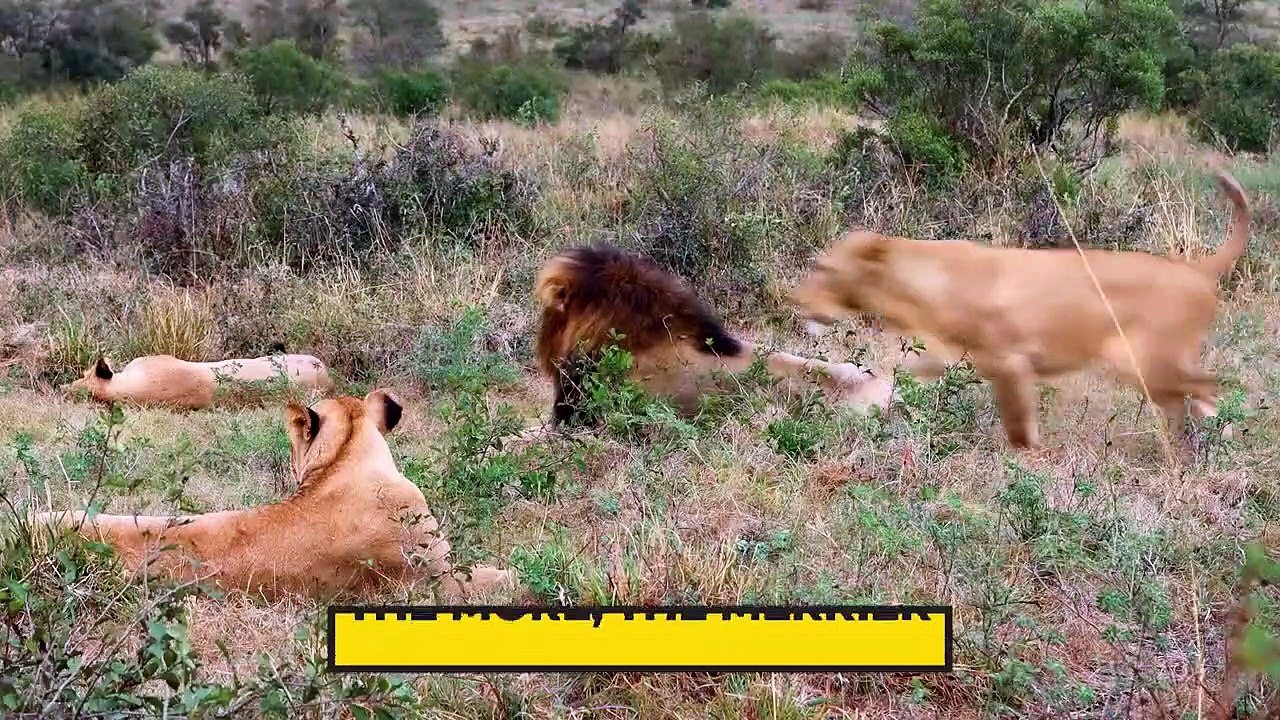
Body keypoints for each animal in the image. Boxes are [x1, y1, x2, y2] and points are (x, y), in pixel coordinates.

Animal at [790, 169, 1250, 451]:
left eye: (823, 268)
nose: (793, 301)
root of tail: (1195, 270)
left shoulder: (1010, 364)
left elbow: (1019, 432)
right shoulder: (936, 362)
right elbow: (881, 386)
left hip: (1142, 363)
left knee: (1216, 389)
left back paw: (1219, 443)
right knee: (1191, 401)